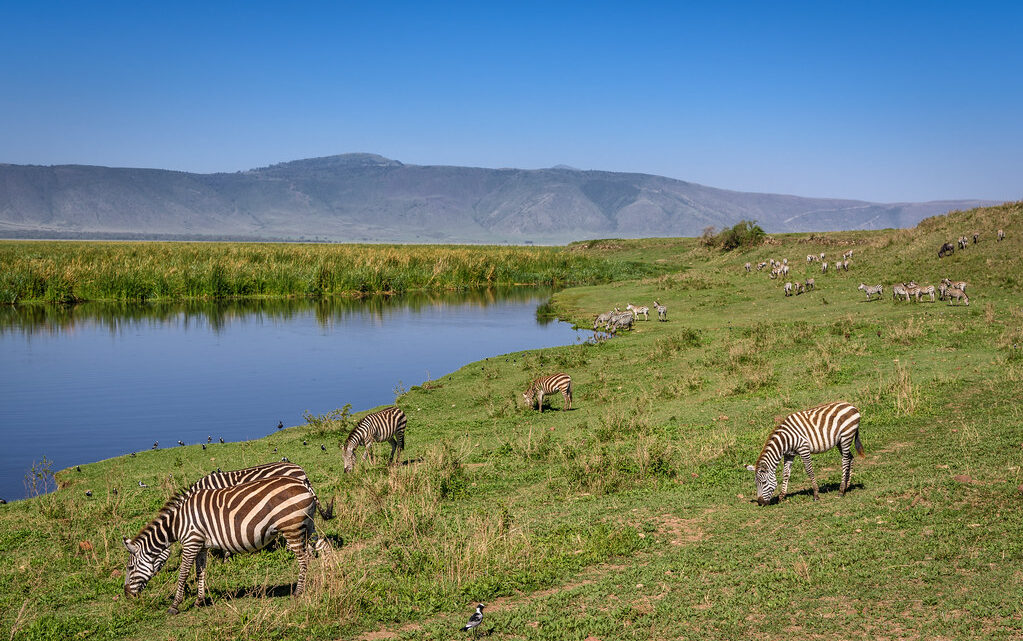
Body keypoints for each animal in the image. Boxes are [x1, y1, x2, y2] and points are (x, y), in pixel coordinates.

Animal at [122, 478, 333, 613]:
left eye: (130, 567)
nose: (126, 595)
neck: (178, 523)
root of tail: (304, 485)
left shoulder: (191, 542)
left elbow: (183, 574)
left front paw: (174, 606)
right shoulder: (201, 545)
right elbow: (200, 572)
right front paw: (199, 601)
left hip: (291, 527)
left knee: (304, 558)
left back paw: (298, 592)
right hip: (307, 525)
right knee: (324, 547)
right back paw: (330, 580)